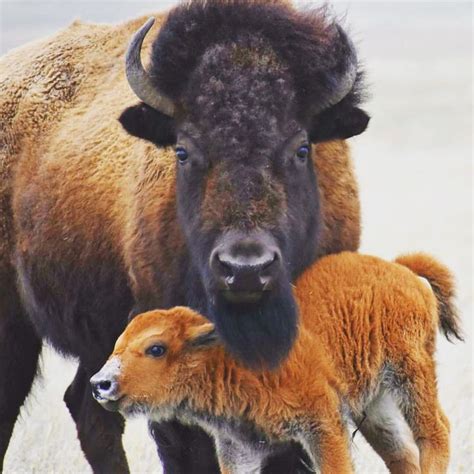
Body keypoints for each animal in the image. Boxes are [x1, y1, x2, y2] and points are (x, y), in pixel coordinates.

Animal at [91, 254, 460, 474]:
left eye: (156, 348)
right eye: (118, 344)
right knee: (399, 452)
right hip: (374, 405)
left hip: (410, 373)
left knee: (434, 431)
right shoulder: (238, 446)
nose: (100, 384)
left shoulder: (323, 426)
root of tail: (400, 269)